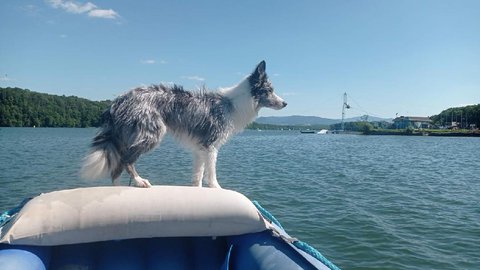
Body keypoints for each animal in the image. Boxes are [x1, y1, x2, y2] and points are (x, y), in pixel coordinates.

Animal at [81, 61, 286, 188]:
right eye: (269, 90)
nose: (285, 103)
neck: (234, 104)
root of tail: (119, 100)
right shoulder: (211, 146)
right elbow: (212, 175)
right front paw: (217, 189)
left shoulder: (200, 149)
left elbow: (198, 175)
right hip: (151, 133)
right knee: (125, 161)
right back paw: (139, 182)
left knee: (116, 167)